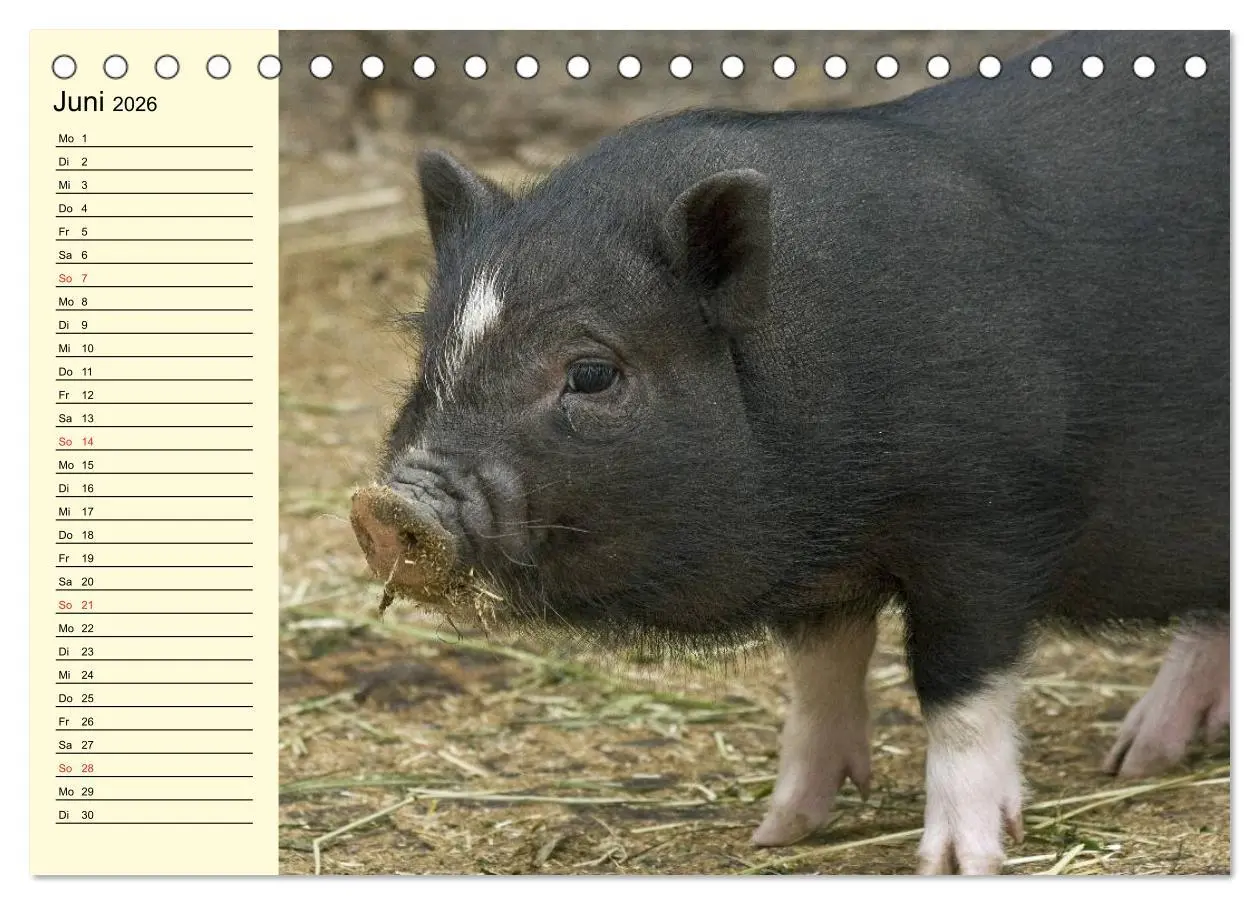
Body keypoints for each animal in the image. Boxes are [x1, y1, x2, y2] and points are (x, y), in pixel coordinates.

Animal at [354, 30, 1229, 874]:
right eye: (431, 351)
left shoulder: (994, 517)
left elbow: (957, 685)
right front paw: (777, 833)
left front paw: (958, 863)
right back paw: (1141, 755)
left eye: (592, 372)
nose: (386, 504)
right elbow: (818, 673)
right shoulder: (822, 570)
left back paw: (1130, 759)